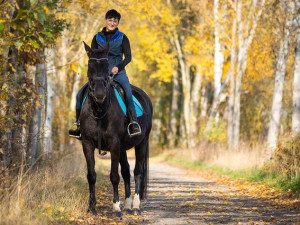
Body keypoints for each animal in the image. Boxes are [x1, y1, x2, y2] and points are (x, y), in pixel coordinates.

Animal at [79, 41, 152, 216]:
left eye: (107, 67)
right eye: (90, 66)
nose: (99, 93)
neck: (99, 111)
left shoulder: (114, 144)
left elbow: (114, 176)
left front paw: (116, 207)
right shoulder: (87, 144)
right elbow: (91, 175)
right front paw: (91, 207)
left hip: (142, 143)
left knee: (137, 171)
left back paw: (136, 206)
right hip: (123, 148)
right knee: (126, 170)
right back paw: (128, 204)